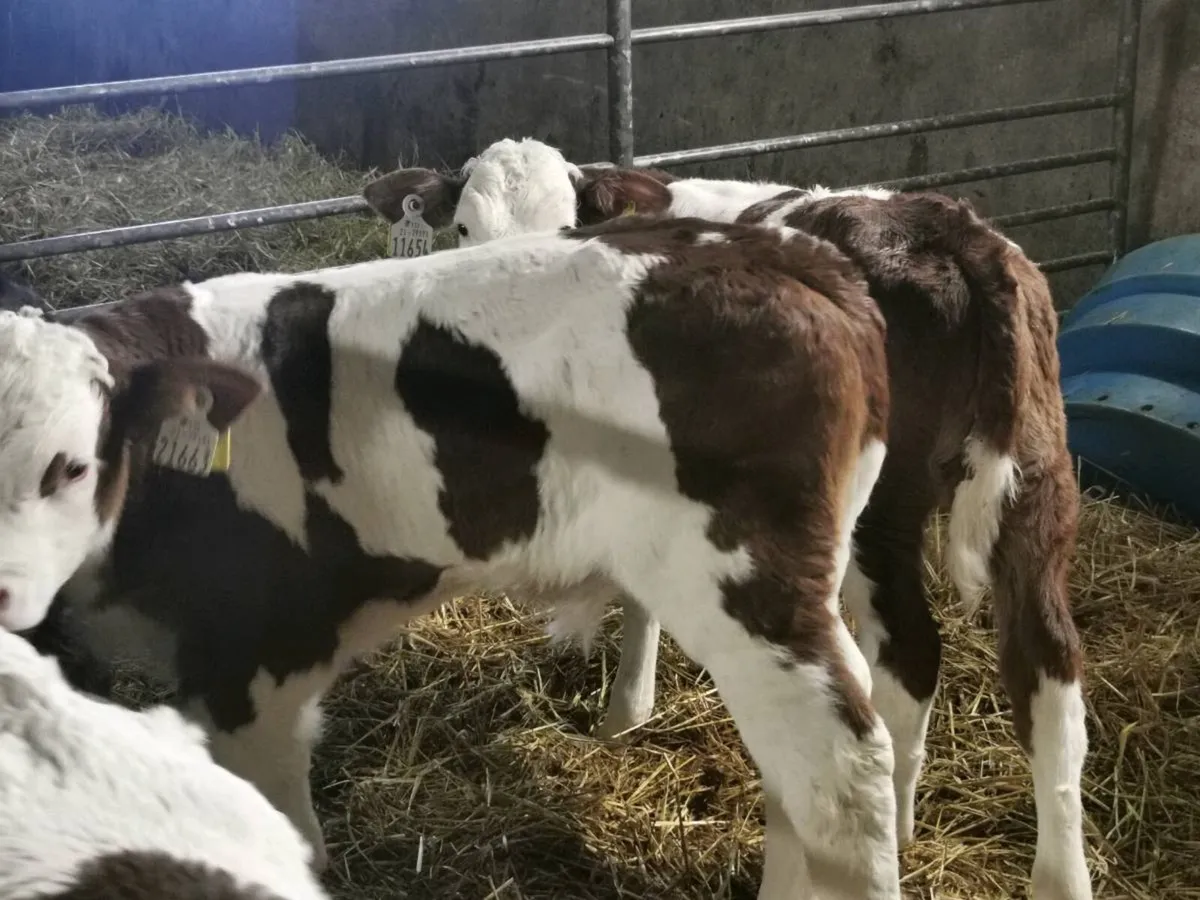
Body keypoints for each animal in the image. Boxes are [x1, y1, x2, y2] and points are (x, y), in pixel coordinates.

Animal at [0, 215, 899, 899]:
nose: (5, 599)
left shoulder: (256, 659)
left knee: (842, 772)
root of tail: (786, 255)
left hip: (746, 583)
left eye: (69, 465)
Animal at [362, 137, 1091, 900]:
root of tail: (949, 229)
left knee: (909, 661)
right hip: (1039, 478)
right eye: (463, 229)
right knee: (1050, 673)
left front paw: (623, 713)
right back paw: (1052, 874)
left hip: (878, 512)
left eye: (564, 227)